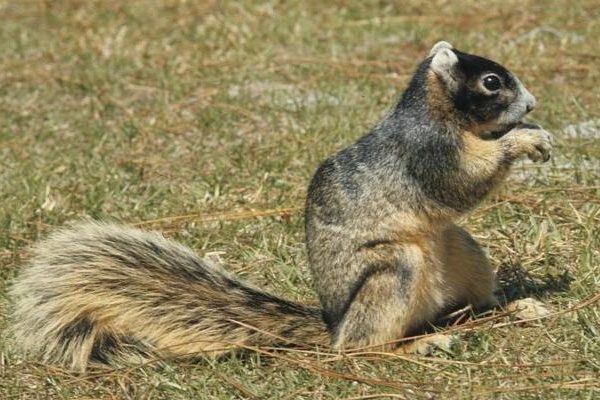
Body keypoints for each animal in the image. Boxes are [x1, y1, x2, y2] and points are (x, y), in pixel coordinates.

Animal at [9, 41, 552, 372]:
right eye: (490, 82)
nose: (531, 104)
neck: (437, 112)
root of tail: (333, 325)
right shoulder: (427, 152)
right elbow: (462, 183)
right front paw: (524, 141)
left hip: (462, 252)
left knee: (470, 304)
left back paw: (516, 306)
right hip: (390, 273)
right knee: (363, 347)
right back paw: (420, 343)